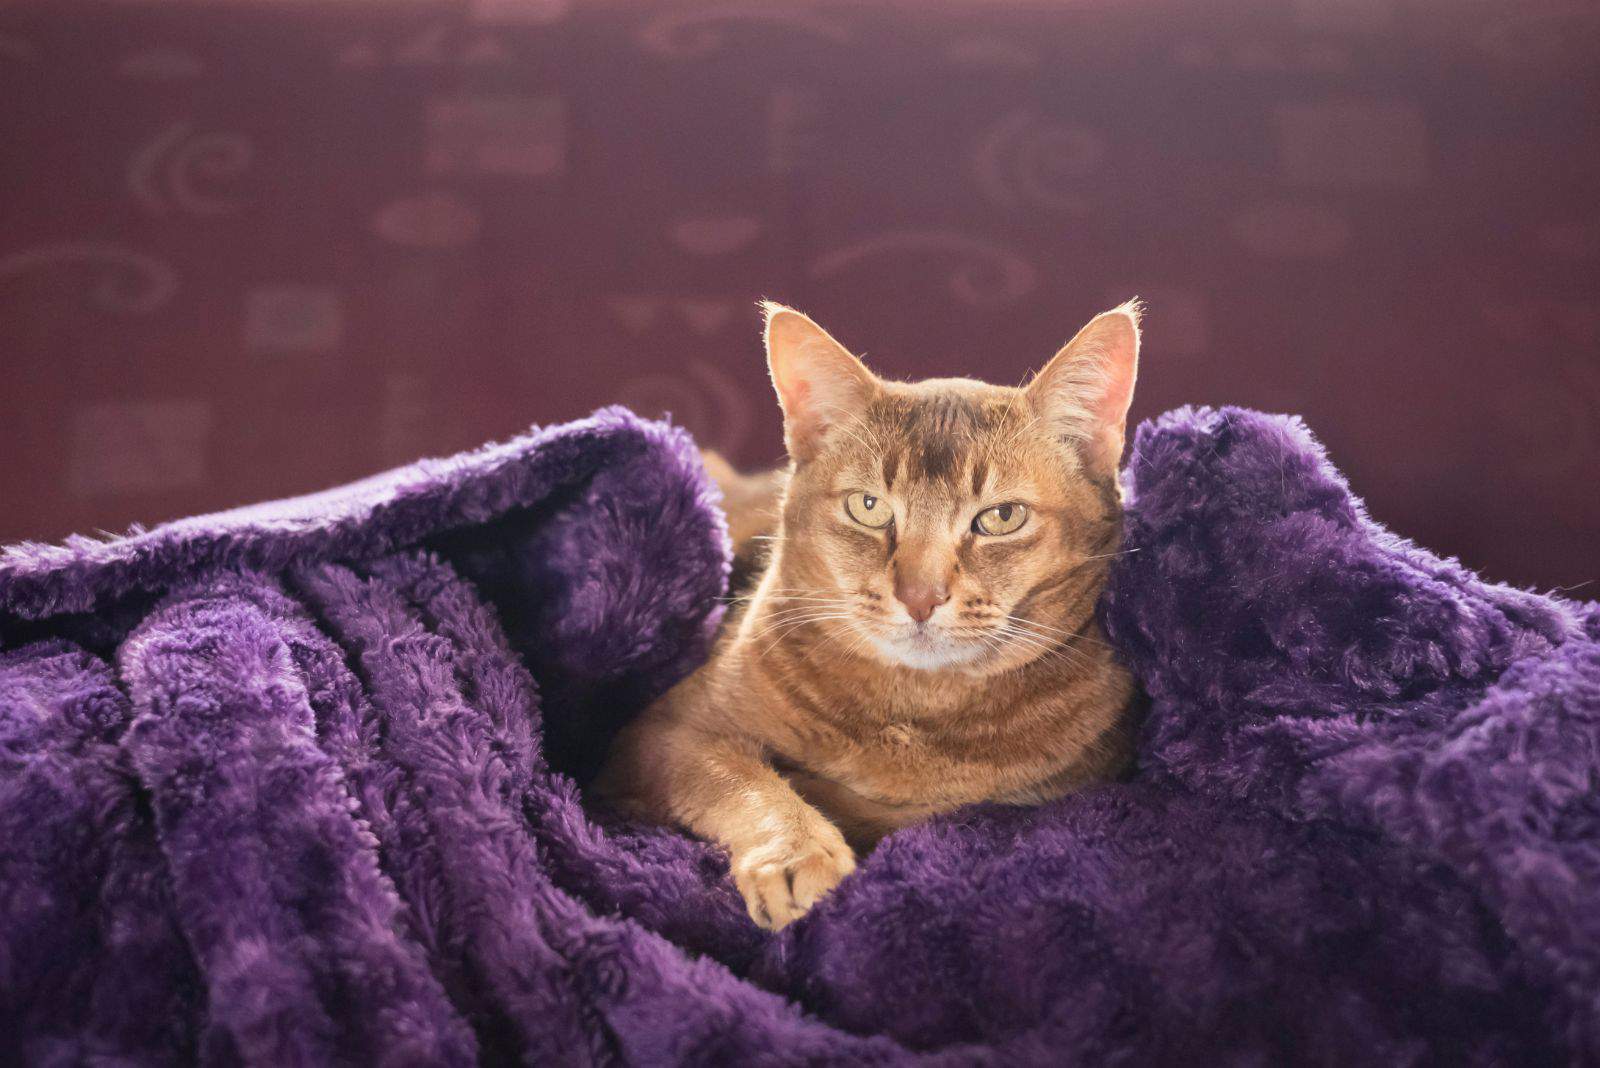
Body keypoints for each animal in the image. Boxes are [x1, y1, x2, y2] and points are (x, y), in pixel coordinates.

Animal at [598, 300, 1139, 927]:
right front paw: (796, 850)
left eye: (1002, 517)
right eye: (869, 507)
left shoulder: (1060, 788)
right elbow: (738, 779)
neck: (911, 710)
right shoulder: (662, 732)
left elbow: (932, 810)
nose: (920, 596)